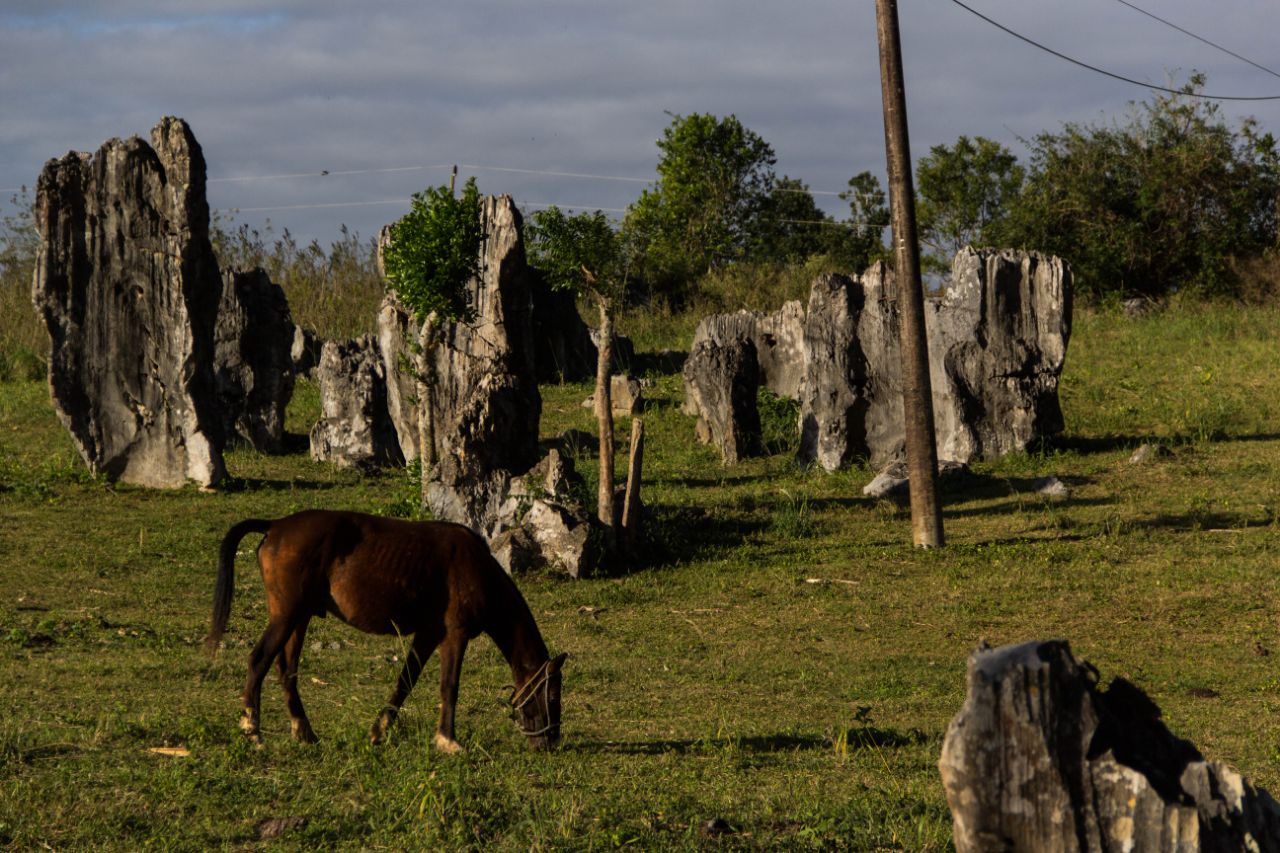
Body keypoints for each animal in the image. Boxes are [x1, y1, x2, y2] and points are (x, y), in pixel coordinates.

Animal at [204, 507, 565, 747]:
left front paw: (379, 730)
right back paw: (252, 728)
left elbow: (405, 681)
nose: (550, 741)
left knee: (286, 670)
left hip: (299, 617)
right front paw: (448, 740)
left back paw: (304, 732)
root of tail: (276, 526)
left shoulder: (428, 634)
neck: (476, 567)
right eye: (552, 694)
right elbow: (449, 686)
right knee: (259, 660)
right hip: (287, 615)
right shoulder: (455, 634)